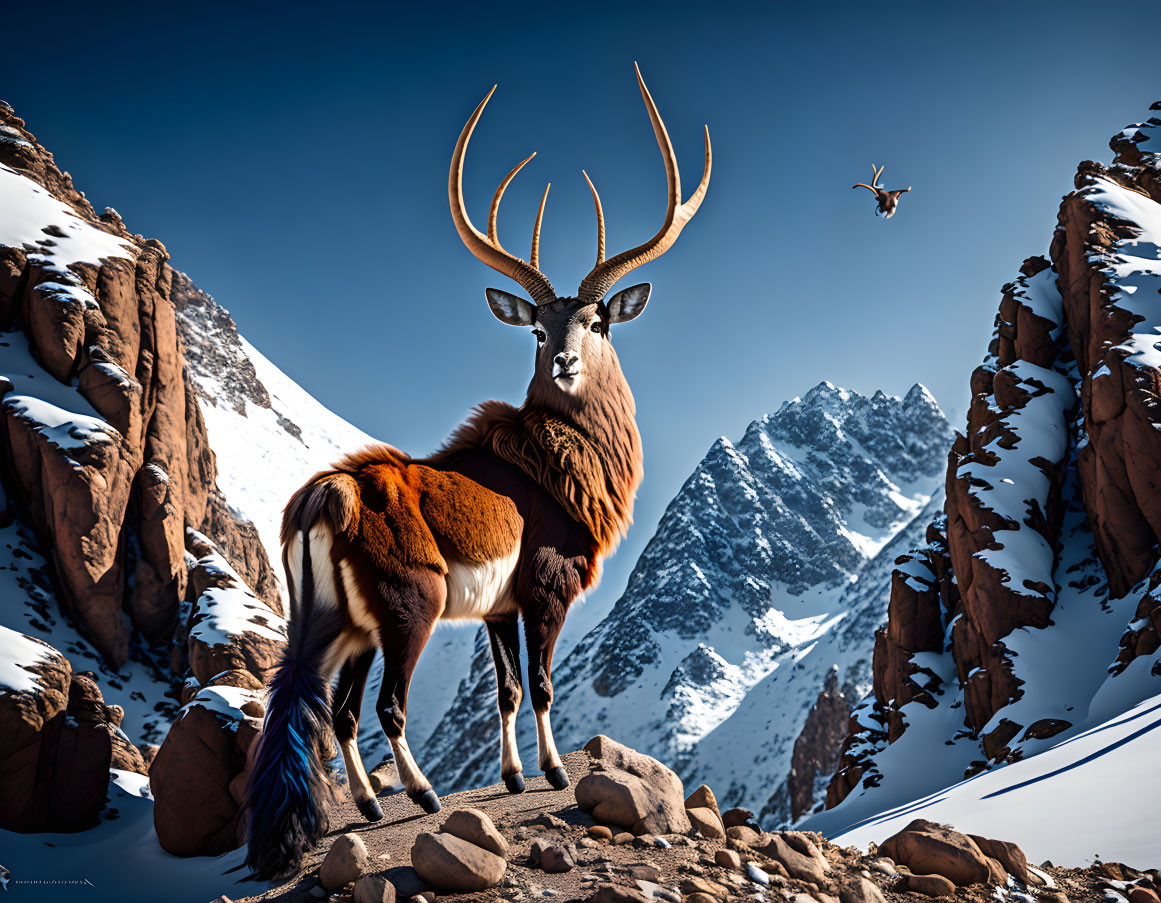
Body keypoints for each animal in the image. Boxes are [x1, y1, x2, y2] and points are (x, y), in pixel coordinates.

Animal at [247, 64, 705, 877]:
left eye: (596, 321)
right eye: (537, 328)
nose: (565, 361)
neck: (552, 462)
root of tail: (324, 498)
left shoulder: (497, 607)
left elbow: (507, 690)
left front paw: (515, 774)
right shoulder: (547, 588)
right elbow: (544, 685)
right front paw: (551, 772)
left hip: (338, 623)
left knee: (326, 705)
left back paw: (362, 807)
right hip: (409, 607)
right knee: (384, 706)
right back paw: (422, 795)